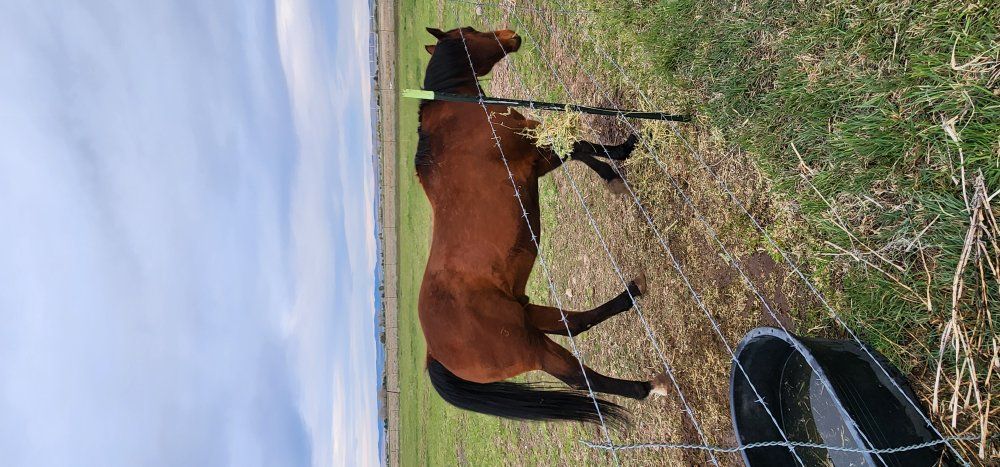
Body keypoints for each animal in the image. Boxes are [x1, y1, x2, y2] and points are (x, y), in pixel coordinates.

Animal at [415, 26, 669, 426]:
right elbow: (577, 147)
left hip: (529, 315)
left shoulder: (536, 159)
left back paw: (632, 293)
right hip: (533, 348)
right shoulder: (532, 155)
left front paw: (613, 169)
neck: (457, 117)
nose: (509, 34)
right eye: (470, 33)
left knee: (574, 323)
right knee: (582, 377)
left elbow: (576, 149)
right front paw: (623, 152)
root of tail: (434, 354)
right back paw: (647, 387)